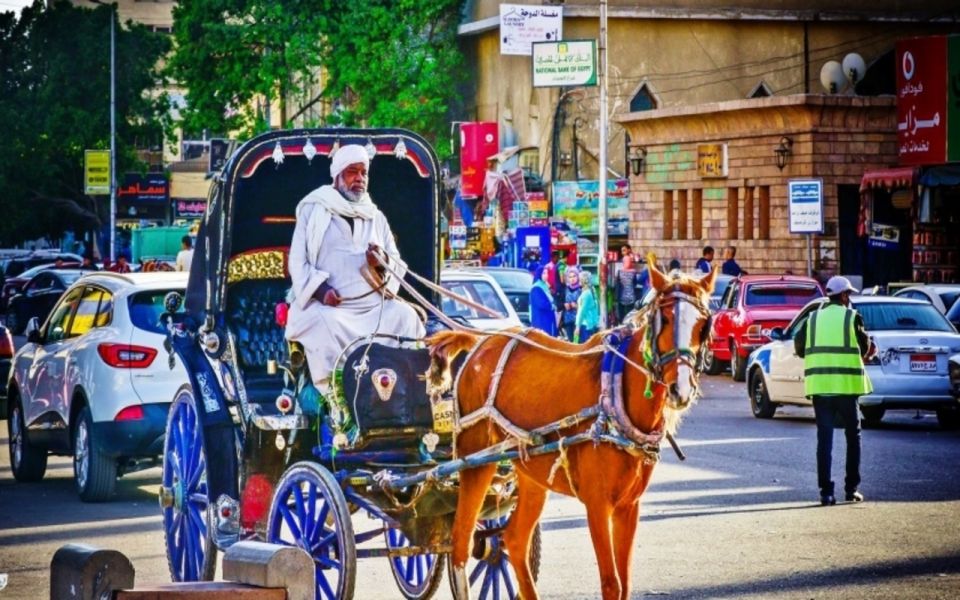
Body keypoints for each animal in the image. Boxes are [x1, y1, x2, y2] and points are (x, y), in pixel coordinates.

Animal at [426, 262, 712, 600]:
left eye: (703, 325)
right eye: (664, 319)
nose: (681, 389)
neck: (615, 391)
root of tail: (481, 341)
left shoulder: (629, 506)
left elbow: (625, 582)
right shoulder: (597, 504)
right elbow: (611, 582)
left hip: (530, 472)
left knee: (515, 539)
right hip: (475, 460)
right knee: (461, 541)